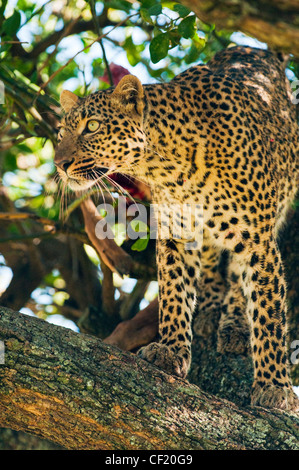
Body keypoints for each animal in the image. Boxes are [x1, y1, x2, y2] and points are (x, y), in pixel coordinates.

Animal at [55, 46, 299, 410]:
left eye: (93, 126)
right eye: (61, 133)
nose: (60, 164)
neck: (168, 167)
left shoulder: (257, 240)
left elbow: (268, 313)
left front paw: (274, 387)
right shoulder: (175, 233)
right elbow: (174, 292)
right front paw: (171, 351)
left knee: (239, 279)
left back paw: (234, 325)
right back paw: (211, 310)